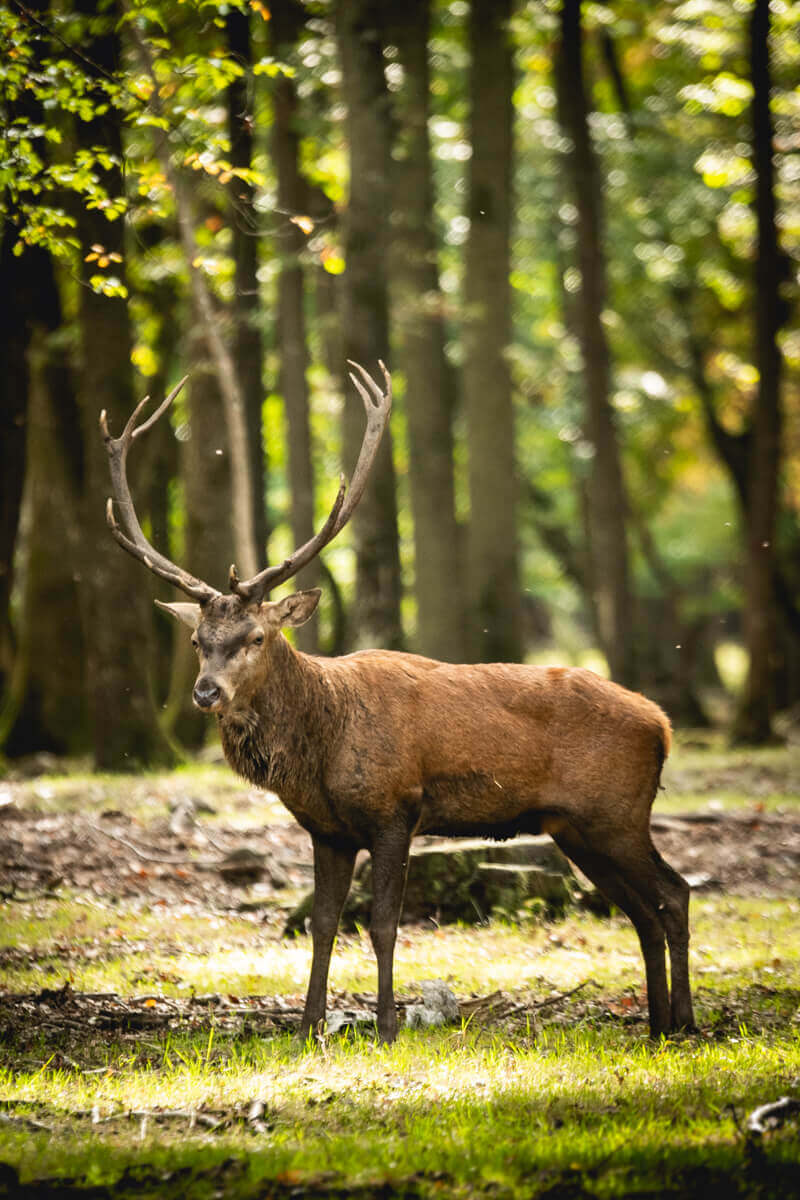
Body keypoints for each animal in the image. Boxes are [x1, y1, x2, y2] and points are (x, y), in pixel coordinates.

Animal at [101, 360, 695, 1046]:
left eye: (256, 637)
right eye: (198, 640)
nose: (206, 692)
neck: (322, 747)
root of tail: (664, 725)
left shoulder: (396, 809)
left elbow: (384, 923)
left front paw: (386, 1027)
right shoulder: (327, 831)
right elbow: (322, 925)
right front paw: (307, 1029)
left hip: (617, 814)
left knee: (674, 895)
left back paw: (686, 1023)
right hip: (578, 828)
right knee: (643, 911)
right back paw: (656, 1026)